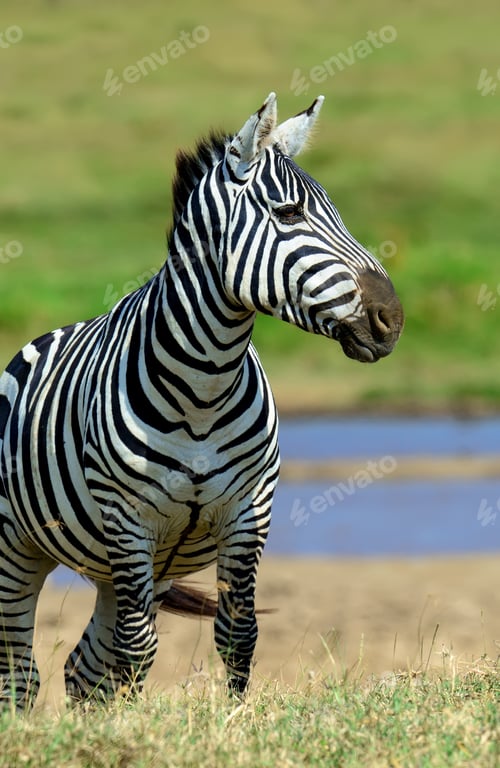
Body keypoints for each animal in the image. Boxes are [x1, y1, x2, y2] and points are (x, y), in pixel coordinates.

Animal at [0, 92, 403, 709]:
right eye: (289, 214)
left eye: (337, 212)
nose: (393, 321)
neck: (204, 389)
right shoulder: (128, 519)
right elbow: (138, 648)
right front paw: (136, 726)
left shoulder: (247, 512)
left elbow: (239, 633)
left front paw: (232, 721)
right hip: (19, 549)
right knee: (21, 674)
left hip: (125, 567)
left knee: (84, 668)